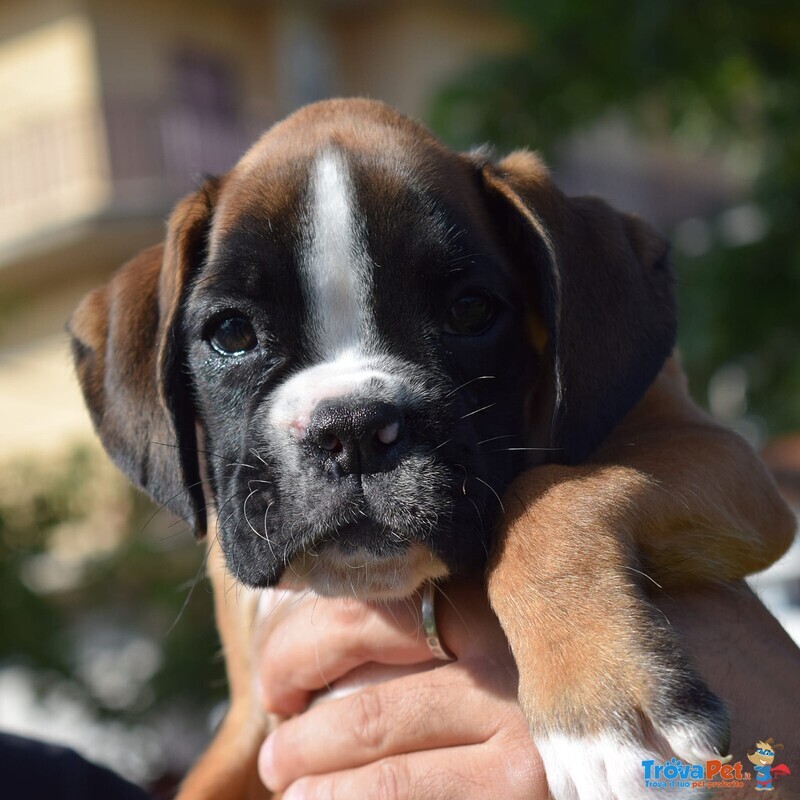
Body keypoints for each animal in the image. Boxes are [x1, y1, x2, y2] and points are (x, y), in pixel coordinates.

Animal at [69, 100, 792, 800]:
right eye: (231, 333)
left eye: (471, 310)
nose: (353, 429)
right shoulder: (251, 721)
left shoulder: (715, 453)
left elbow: (552, 497)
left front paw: (603, 716)